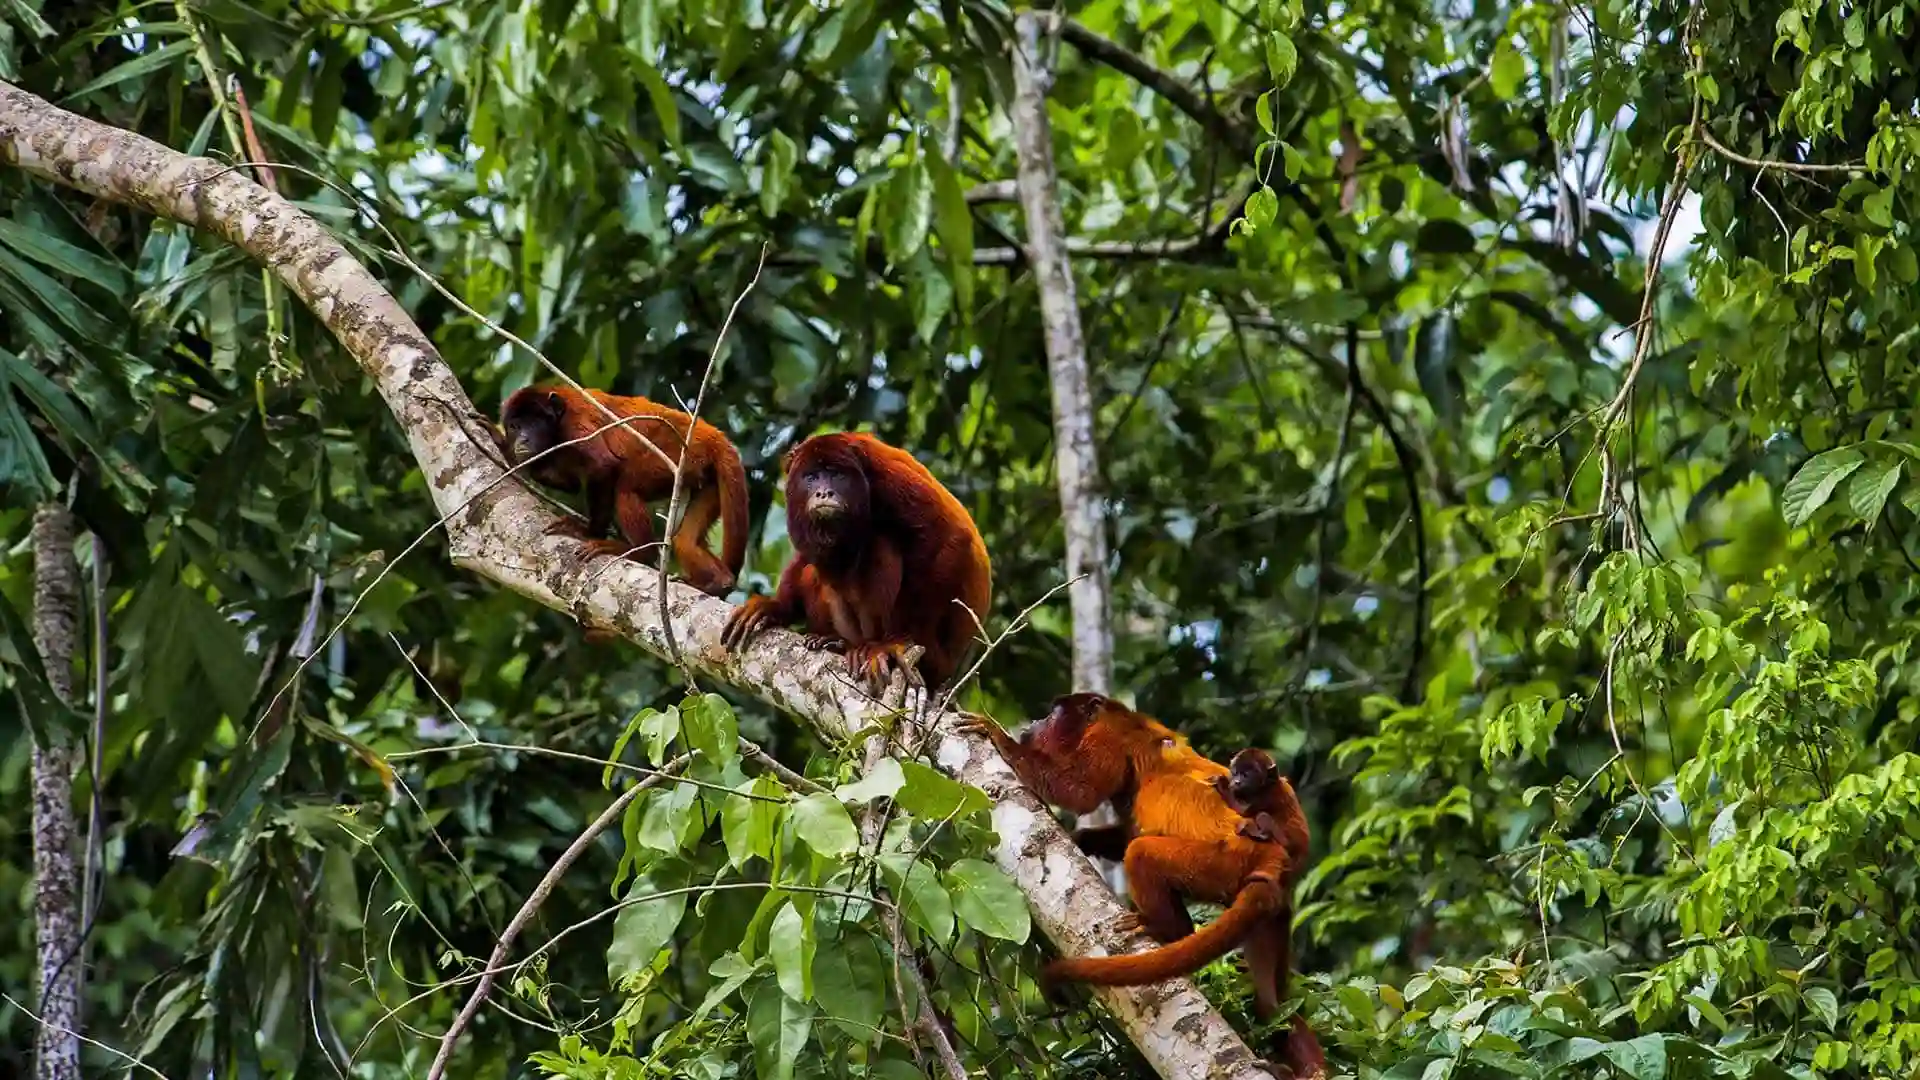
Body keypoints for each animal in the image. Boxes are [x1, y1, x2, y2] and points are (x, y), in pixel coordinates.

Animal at [498, 384, 749, 598]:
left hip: (681, 454)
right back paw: (719, 582)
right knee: (684, 540)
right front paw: (505, 448)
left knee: (626, 487)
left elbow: (603, 466)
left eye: (533, 424)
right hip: (705, 477)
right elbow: (571, 483)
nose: (522, 440)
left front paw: (588, 532)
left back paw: (640, 554)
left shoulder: (576, 424)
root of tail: (712, 434)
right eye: (515, 427)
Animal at [720, 431, 990, 693]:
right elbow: (805, 558)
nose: (823, 493)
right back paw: (834, 640)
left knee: (882, 541)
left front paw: (898, 641)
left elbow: (951, 535)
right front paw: (775, 607)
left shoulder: (888, 479)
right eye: (812, 477)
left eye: (836, 475)